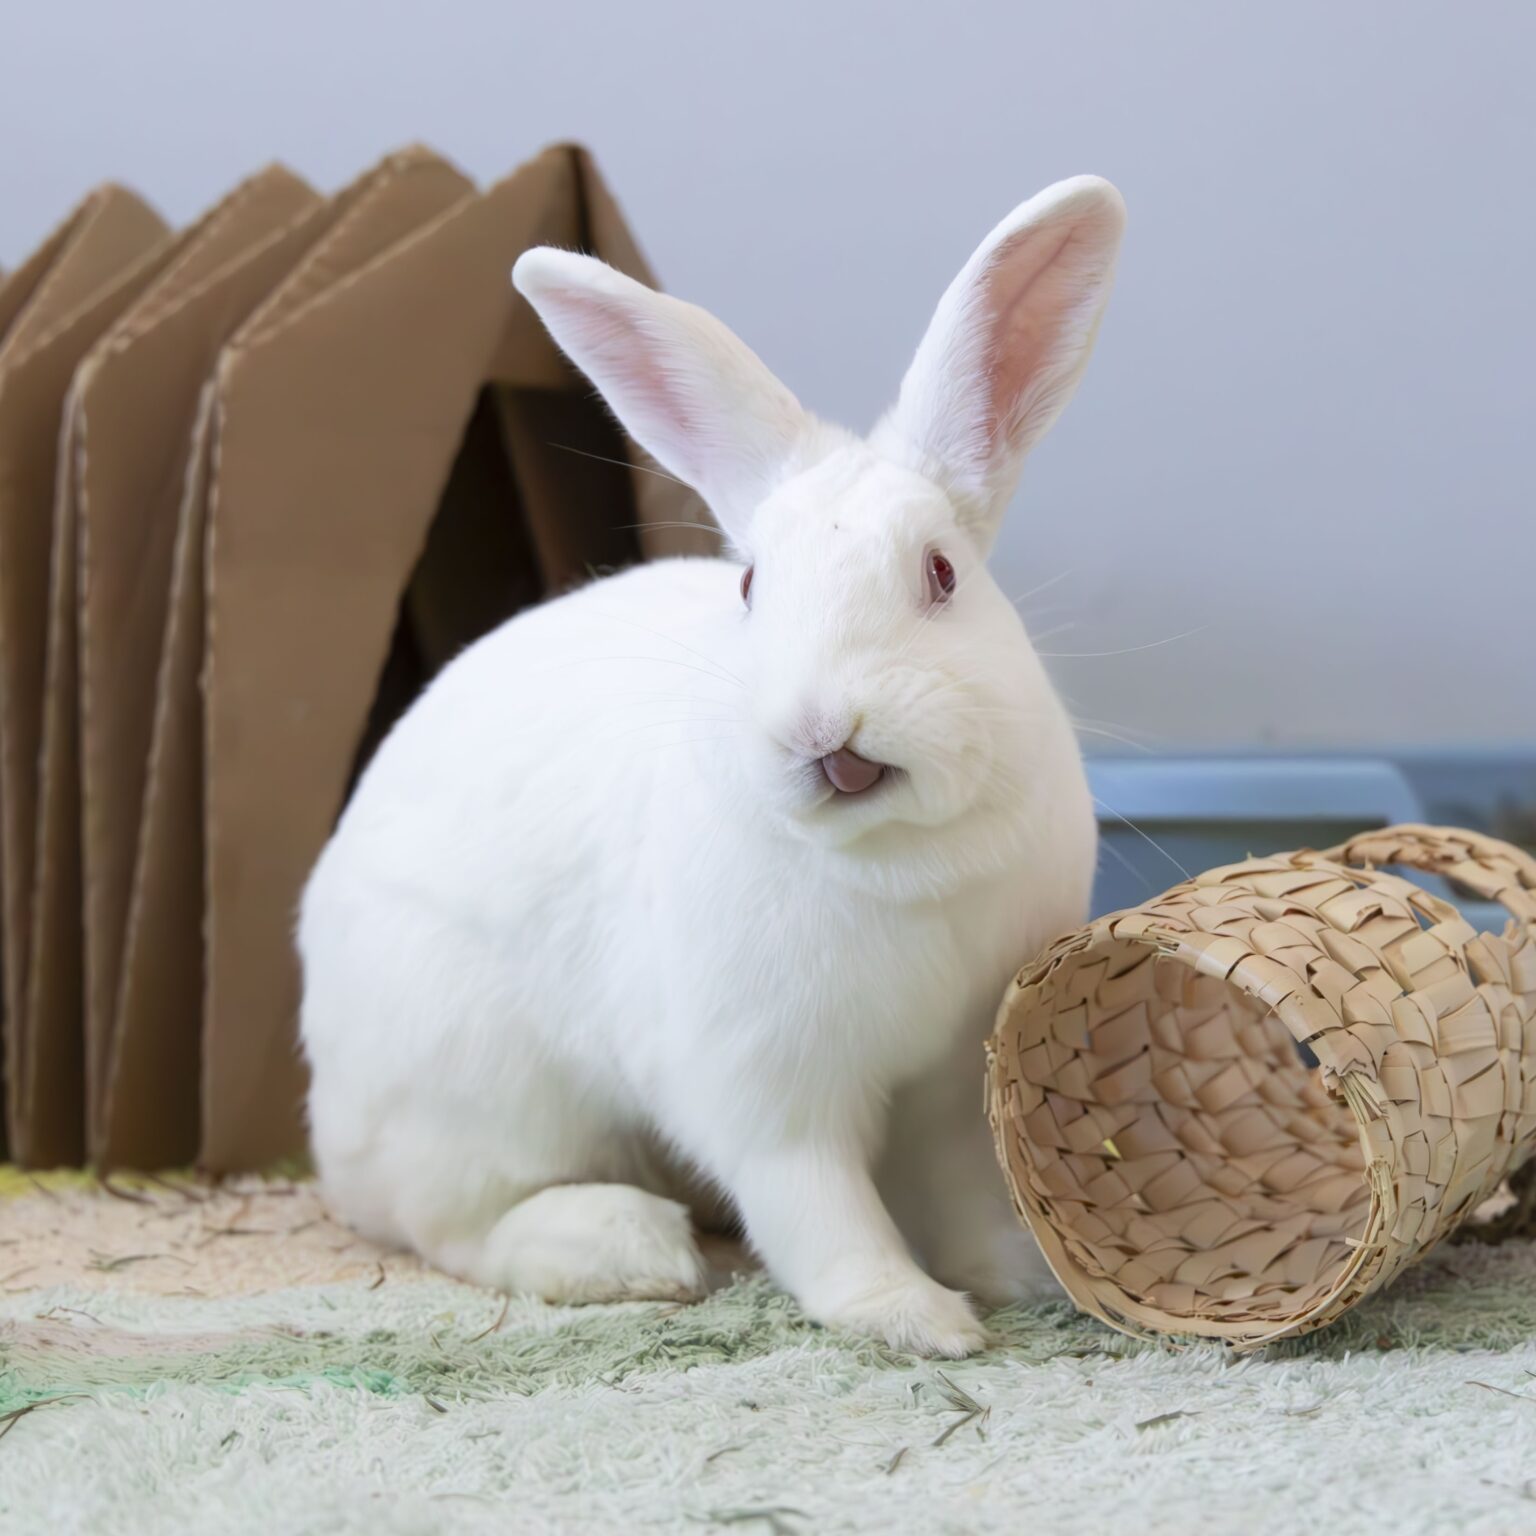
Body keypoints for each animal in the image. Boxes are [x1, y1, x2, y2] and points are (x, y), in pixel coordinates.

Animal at [298, 175, 1124, 1358]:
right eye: (749, 590)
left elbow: (960, 1184)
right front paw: (915, 1318)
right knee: (461, 1226)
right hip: (474, 1094)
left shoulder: (951, 1075)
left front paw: (1009, 1276)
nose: (825, 727)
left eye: (942, 574)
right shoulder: (763, 1085)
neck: (892, 861)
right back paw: (628, 1249)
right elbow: (815, 1205)